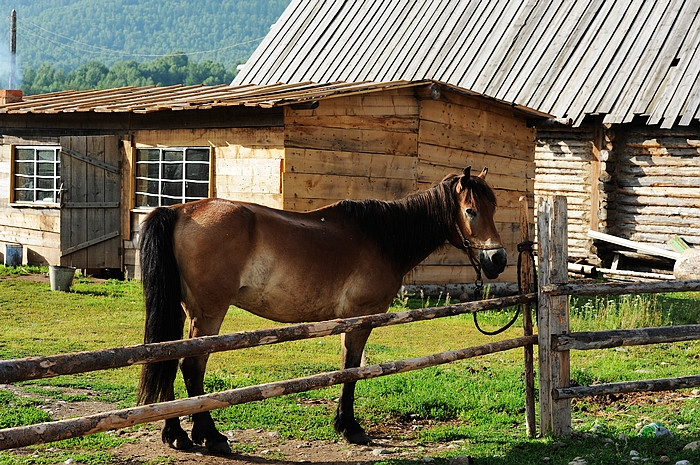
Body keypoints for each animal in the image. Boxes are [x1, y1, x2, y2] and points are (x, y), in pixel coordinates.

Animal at [138, 165, 508, 452]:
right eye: (471, 211)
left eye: (494, 208)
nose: (498, 260)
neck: (382, 238)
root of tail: (180, 212)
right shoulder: (361, 316)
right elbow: (352, 369)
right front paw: (350, 427)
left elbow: (347, 366)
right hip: (209, 312)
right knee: (191, 366)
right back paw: (210, 436)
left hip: (184, 312)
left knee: (166, 357)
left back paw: (176, 435)